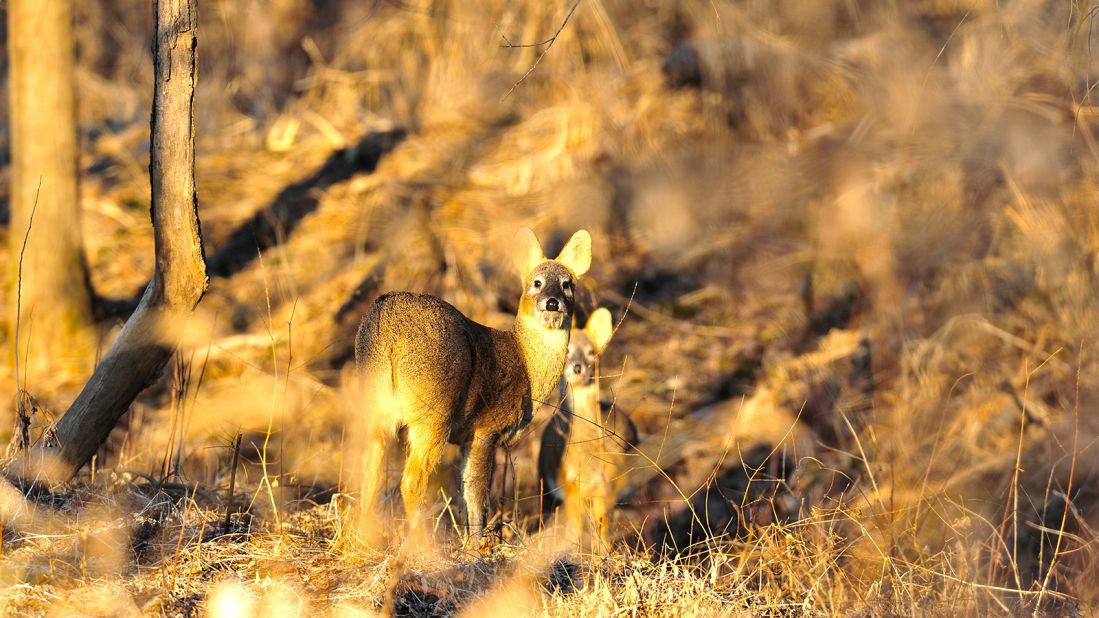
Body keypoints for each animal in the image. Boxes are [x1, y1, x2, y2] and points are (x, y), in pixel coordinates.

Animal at [353, 226, 593, 534]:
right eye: (537, 283)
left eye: (567, 284)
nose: (553, 303)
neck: (526, 364)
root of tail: (389, 327)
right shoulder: (487, 428)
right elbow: (478, 496)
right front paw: (479, 542)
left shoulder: (466, 438)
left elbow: (465, 493)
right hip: (433, 412)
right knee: (411, 482)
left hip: (376, 404)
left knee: (367, 477)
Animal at [538, 305, 641, 538]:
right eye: (566, 351)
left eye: (591, 352)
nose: (578, 367)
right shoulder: (570, 484)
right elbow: (575, 530)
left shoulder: (607, 484)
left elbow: (602, 530)